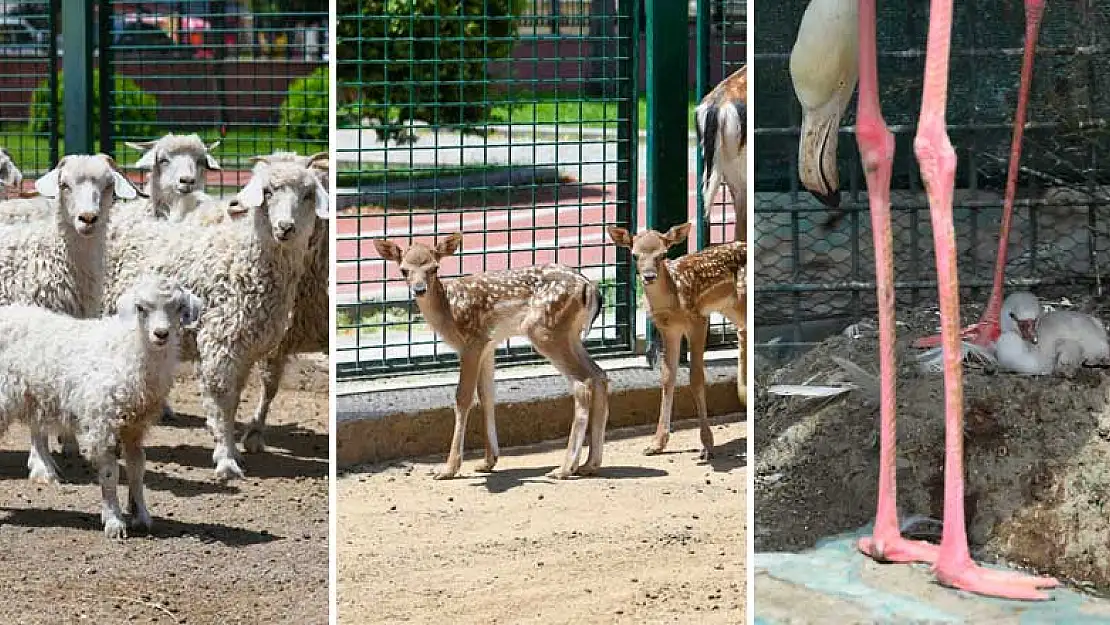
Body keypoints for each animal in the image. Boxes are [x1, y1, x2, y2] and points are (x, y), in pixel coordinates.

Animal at [0, 276, 204, 539]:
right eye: (140, 308)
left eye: (179, 307)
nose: (161, 334)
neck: (128, 350)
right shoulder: (102, 422)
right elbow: (110, 474)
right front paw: (114, 521)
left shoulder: (134, 427)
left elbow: (137, 469)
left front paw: (141, 515)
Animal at [102, 149, 328, 479]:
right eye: (267, 191)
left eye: (309, 194)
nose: (286, 227)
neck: (241, 261)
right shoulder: (220, 343)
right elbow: (221, 401)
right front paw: (226, 459)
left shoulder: (247, 349)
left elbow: (235, 401)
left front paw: (234, 448)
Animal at [377, 232, 612, 481]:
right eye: (403, 269)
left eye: (434, 268)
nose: (419, 289)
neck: (448, 310)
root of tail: (589, 287)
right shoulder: (489, 345)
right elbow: (487, 395)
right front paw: (488, 461)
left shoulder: (472, 342)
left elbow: (463, 397)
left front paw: (449, 469)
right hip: (570, 336)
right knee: (599, 375)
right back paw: (590, 464)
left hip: (544, 331)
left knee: (582, 383)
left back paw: (565, 468)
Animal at [608, 224, 745, 459]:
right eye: (634, 255)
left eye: (663, 254)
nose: (649, 276)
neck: (673, 302)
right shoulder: (668, 329)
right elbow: (667, 377)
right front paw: (656, 444)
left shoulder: (698, 320)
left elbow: (696, 377)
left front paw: (707, 445)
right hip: (731, 308)